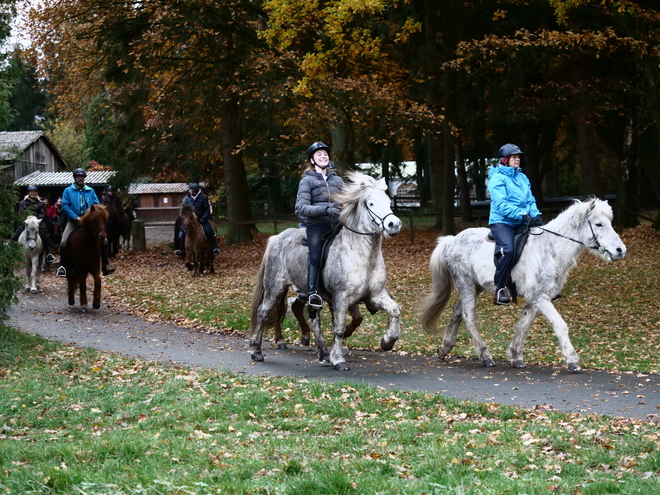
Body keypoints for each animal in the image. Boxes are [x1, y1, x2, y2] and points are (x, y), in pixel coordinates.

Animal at [249, 172, 400, 370]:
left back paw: (322, 352)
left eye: (388, 201)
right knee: (264, 312)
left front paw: (388, 341)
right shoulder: (342, 298)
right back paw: (256, 350)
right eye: (371, 203)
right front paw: (338, 359)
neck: (363, 255)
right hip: (275, 288)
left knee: (313, 320)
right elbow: (339, 327)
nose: (394, 224)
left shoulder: (375, 295)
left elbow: (395, 310)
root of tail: (276, 238)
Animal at [420, 198, 628, 372]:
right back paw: (485, 356)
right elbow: (560, 324)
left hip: (475, 287)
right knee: (468, 316)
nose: (620, 250)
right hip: (466, 284)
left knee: (457, 311)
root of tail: (451, 240)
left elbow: (524, 325)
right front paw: (572, 360)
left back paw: (445, 348)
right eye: (599, 224)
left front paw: (516, 356)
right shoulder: (540, 297)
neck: (550, 249)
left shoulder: (537, 298)